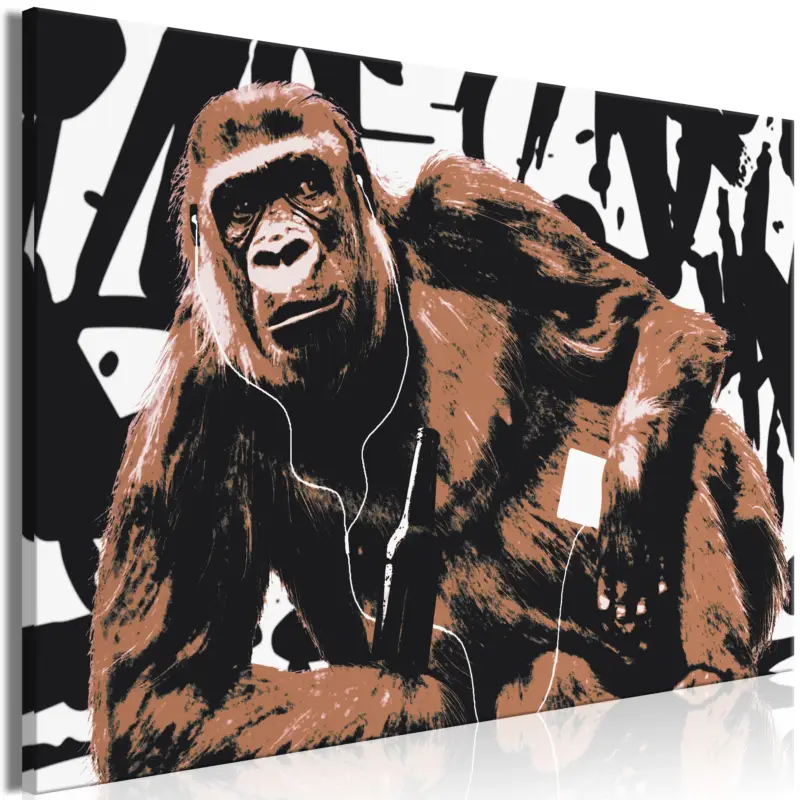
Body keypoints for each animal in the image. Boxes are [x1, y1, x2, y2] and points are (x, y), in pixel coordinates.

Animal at [90, 82, 787, 781]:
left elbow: (649, 322)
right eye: (240, 207)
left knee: (688, 436)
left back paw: (709, 672)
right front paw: (423, 696)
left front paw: (633, 491)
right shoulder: (195, 393)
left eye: (305, 182)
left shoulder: (471, 205)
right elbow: (161, 699)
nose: (280, 250)